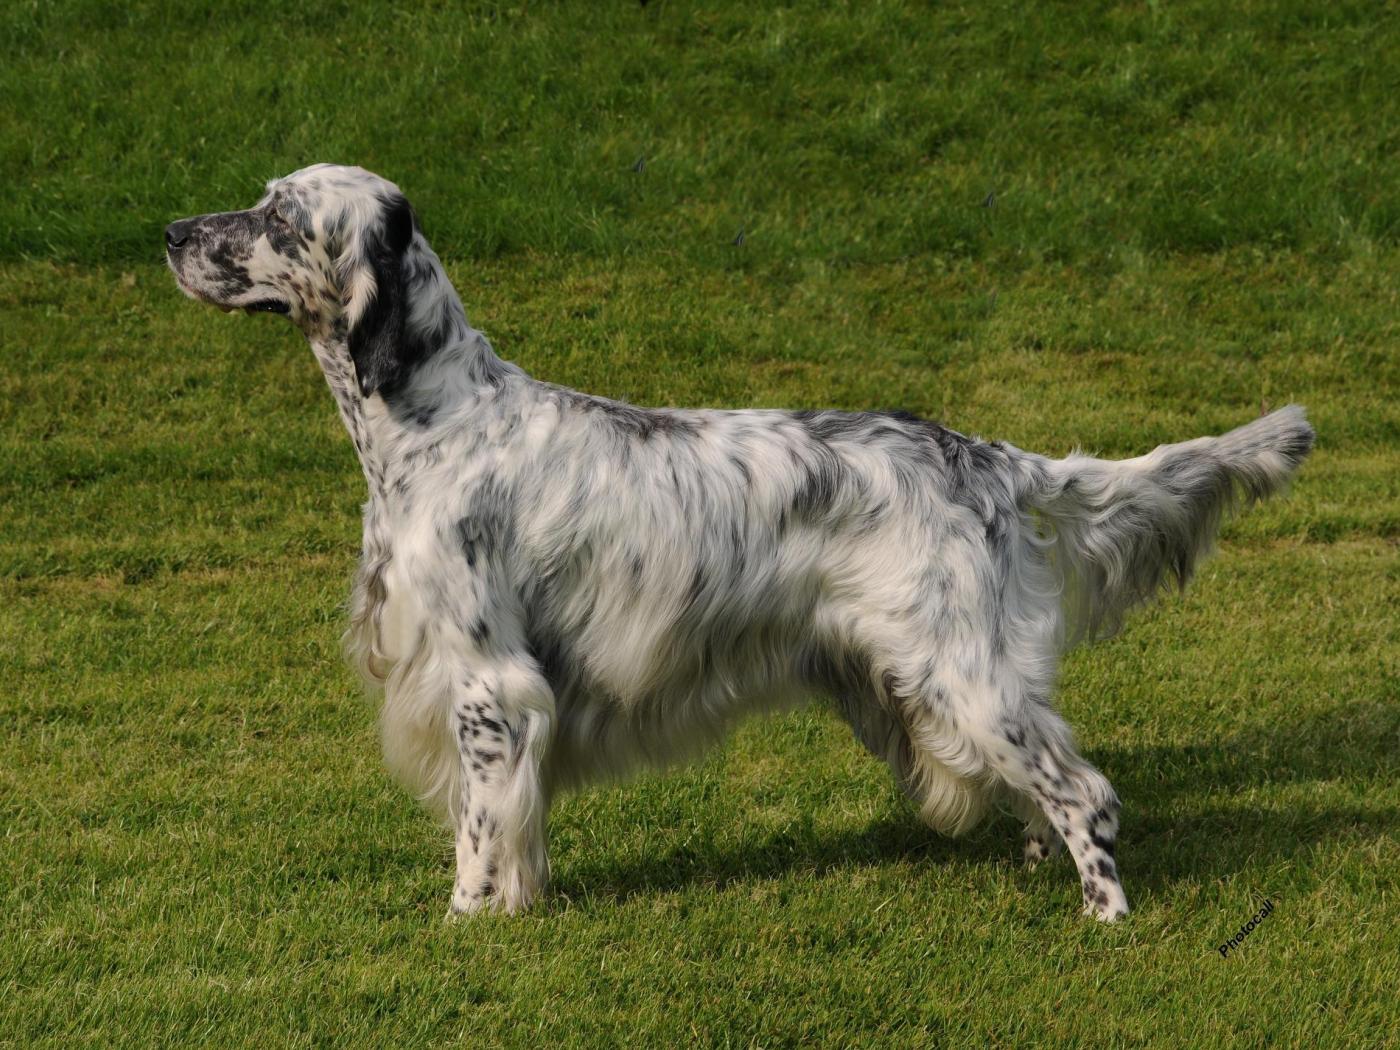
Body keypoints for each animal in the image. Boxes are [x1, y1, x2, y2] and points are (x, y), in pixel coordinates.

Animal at [166, 164, 1314, 920]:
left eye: (276, 216)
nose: (172, 231)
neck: (437, 418)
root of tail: (983, 455)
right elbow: (512, 832)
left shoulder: (488, 685)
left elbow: (480, 836)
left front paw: (466, 927)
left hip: (957, 671)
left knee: (1086, 793)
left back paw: (1103, 917)